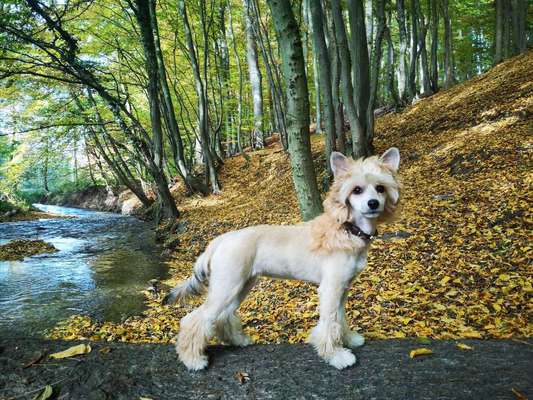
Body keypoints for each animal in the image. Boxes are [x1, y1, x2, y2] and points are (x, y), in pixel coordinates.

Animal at [162, 148, 400, 370]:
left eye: (380, 188)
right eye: (356, 189)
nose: (373, 203)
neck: (347, 229)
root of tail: (221, 239)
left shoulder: (342, 289)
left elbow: (340, 319)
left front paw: (348, 340)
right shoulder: (331, 289)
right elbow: (329, 323)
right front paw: (336, 356)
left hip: (240, 286)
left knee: (223, 317)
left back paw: (238, 340)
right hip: (226, 287)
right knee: (195, 319)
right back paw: (192, 359)